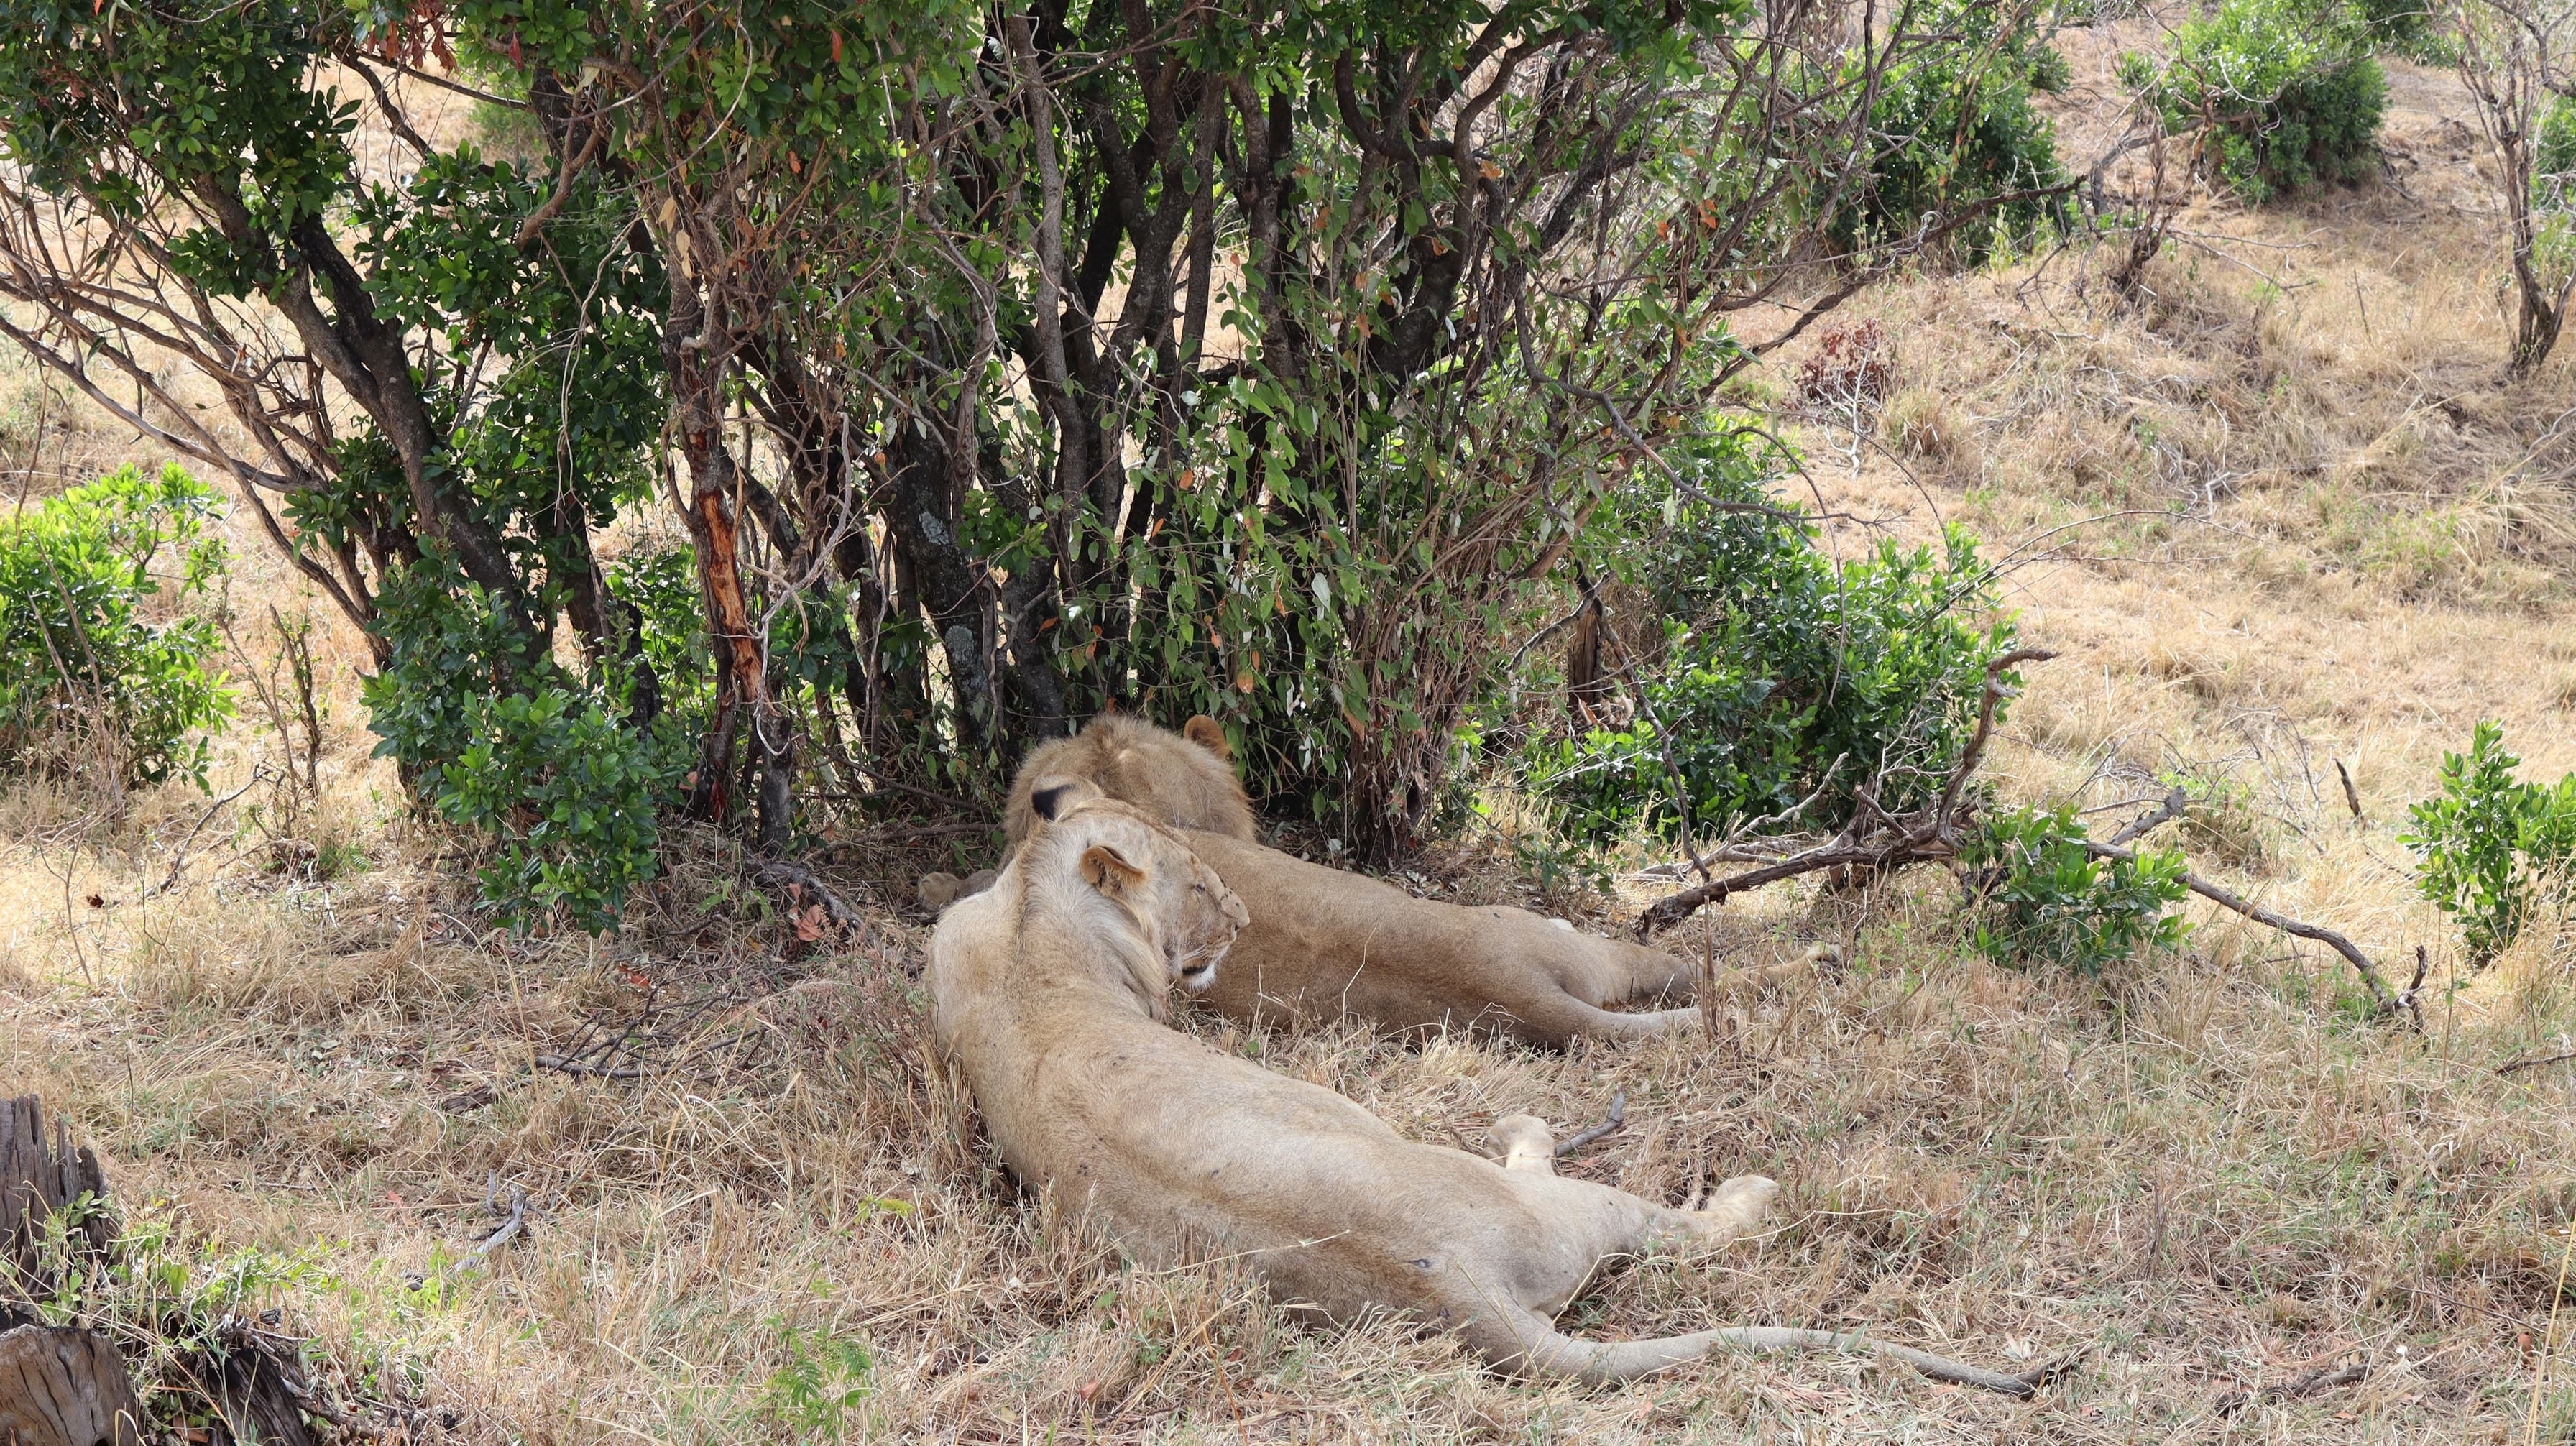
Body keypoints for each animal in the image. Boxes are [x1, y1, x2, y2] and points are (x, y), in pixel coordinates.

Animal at [925, 778, 2038, 1393]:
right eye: (1198, 884)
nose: (1236, 918)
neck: (1031, 916)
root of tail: (1458, 1284)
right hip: (1574, 1189)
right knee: (1679, 1212)